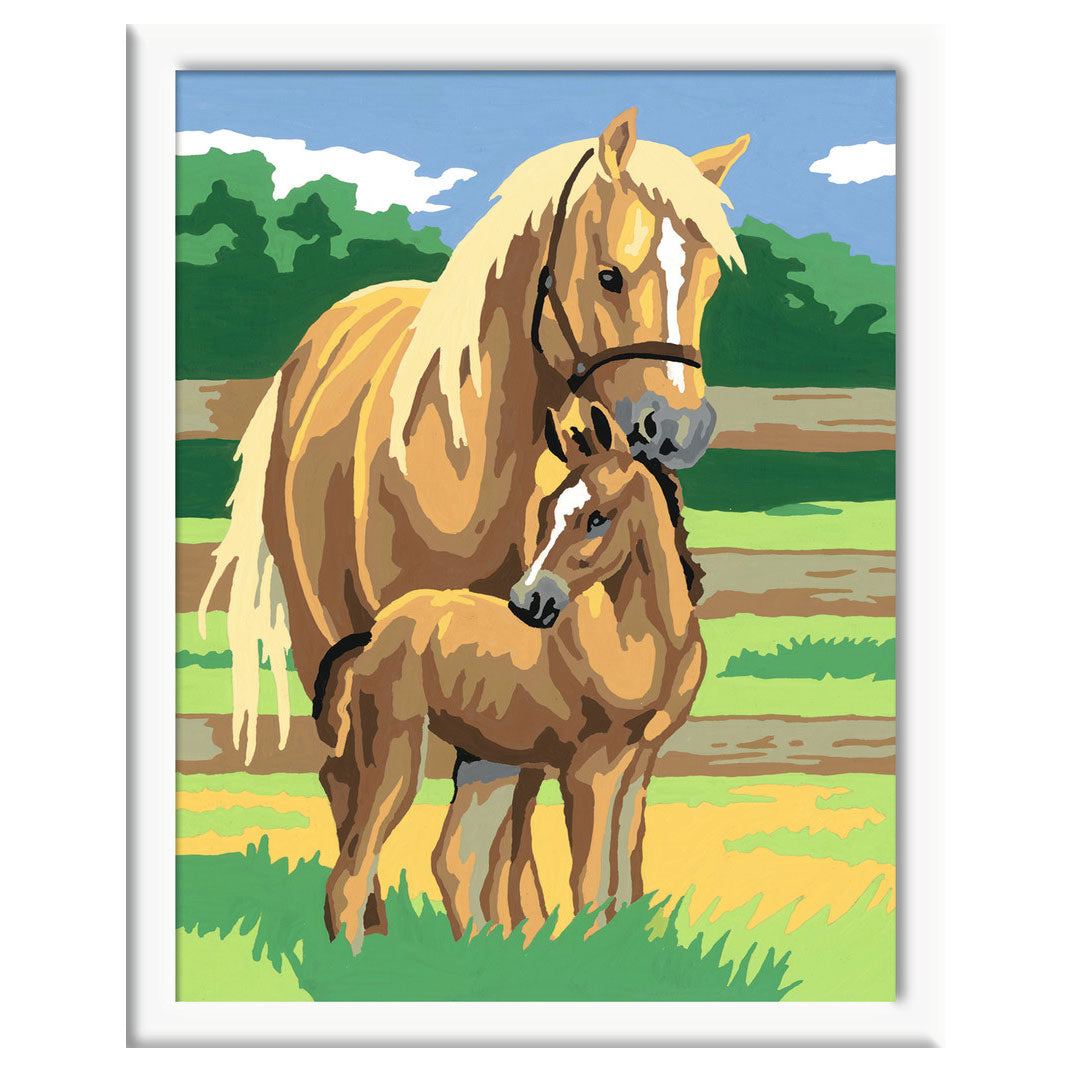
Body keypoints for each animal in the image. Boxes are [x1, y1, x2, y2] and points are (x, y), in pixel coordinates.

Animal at [311, 401, 705, 952]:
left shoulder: (639, 762)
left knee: (455, 860)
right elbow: (590, 881)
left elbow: (626, 877)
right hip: (394, 750)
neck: (639, 643)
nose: (530, 601)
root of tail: (372, 634)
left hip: (485, 763)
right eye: (546, 511)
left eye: (597, 517)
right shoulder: (590, 768)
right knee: (353, 868)